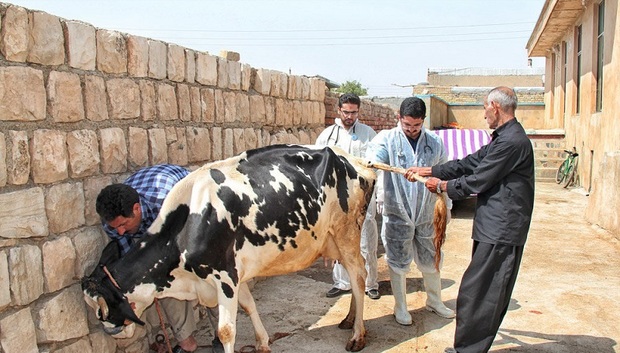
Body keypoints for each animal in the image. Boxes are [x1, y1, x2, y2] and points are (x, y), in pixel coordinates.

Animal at [81, 144, 372, 352]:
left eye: (101, 310)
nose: (115, 333)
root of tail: (355, 160)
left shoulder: (224, 276)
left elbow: (226, 330)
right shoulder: (235, 272)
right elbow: (249, 305)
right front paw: (262, 343)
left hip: (346, 232)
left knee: (358, 275)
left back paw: (357, 335)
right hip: (333, 239)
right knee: (353, 276)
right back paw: (348, 320)